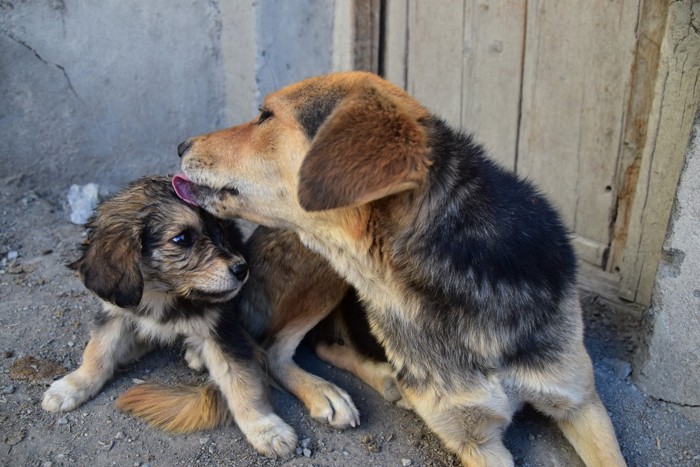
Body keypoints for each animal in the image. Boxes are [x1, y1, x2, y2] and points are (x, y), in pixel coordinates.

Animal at [40, 177, 298, 458]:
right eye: (182, 238)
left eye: (220, 228)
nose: (242, 270)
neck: (162, 294)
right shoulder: (115, 313)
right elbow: (97, 352)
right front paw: (73, 386)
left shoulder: (221, 328)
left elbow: (242, 381)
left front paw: (266, 429)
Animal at [171, 71, 628, 466]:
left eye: (265, 116)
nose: (179, 145)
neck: (450, 278)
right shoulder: (475, 440)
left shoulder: (581, 401)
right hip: (325, 273)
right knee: (273, 349)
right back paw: (328, 392)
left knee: (316, 344)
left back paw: (385, 378)